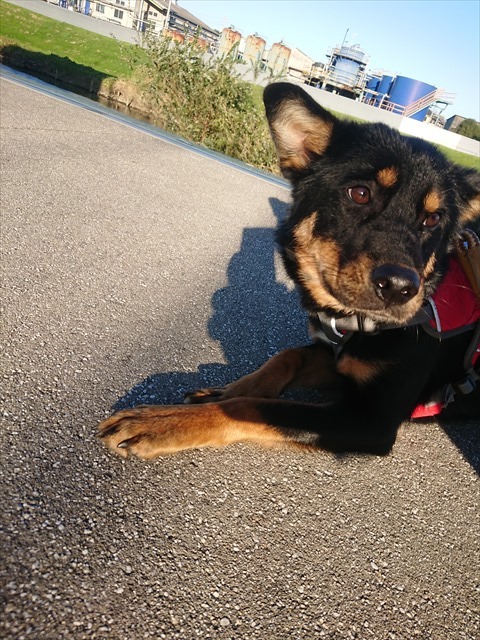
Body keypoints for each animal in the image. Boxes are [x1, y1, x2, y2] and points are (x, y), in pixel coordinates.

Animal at [99, 82, 480, 458]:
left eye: (434, 218)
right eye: (359, 193)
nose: (400, 288)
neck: (358, 325)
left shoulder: (370, 420)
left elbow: (247, 407)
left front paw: (163, 421)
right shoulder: (335, 360)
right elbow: (286, 357)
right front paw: (225, 389)